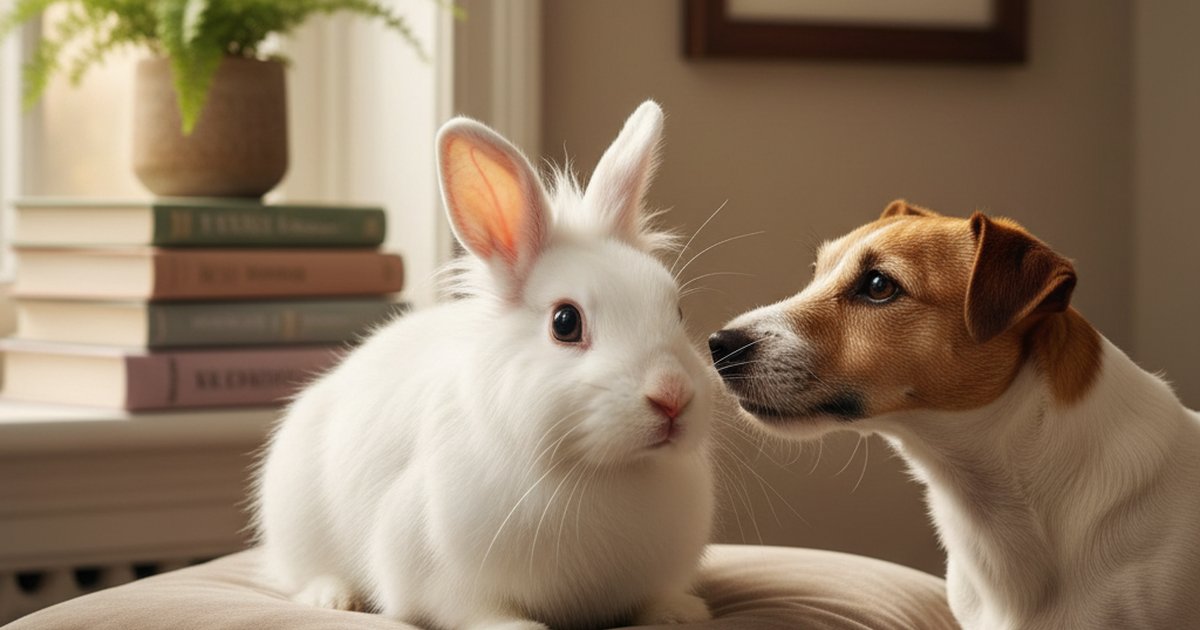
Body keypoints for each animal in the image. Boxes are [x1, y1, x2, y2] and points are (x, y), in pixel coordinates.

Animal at [253, 101, 716, 630]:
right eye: (565, 322)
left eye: (676, 310)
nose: (672, 396)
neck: (603, 471)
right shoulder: (441, 574)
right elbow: (473, 610)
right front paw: (515, 626)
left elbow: (656, 599)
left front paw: (681, 612)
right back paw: (333, 597)